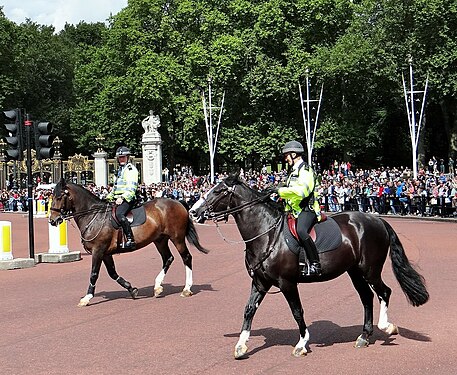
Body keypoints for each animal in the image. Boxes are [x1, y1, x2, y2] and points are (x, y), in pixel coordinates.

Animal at [48, 180, 208, 308]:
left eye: (59, 197)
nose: (53, 220)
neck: (94, 216)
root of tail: (178, 202)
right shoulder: (105, 253)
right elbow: (113, 273)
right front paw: (131, 289)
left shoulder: (98, 250)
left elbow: (94, 274)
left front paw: (87, 298)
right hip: (160, 240)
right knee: (168, 258)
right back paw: (157, 286)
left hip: (177, 238)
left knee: (186, 257)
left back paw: (186, 289)